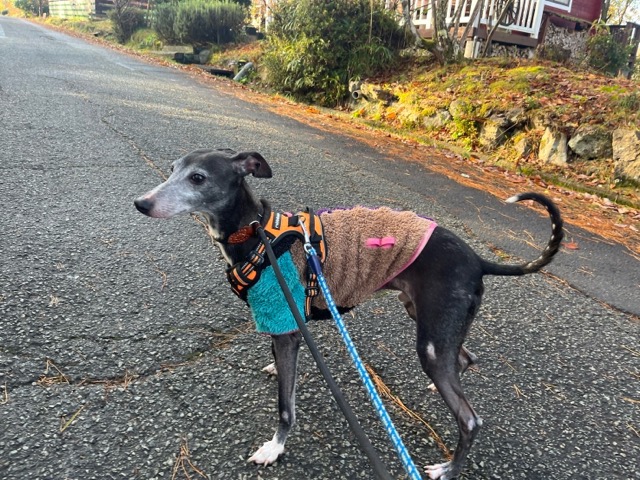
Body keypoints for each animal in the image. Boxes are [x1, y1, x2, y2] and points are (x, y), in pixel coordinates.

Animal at [134, 148, 563, 479]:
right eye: (172, 170)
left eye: (198, 178)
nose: (141, 203)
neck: (257, 234)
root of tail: (477, 260)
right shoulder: (286, 326)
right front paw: (274, 371)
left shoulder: (288, 327)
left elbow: (285, 408)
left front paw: (275, 448)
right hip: (431, 323)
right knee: (465, 357)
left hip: (432, 339)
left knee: (470, 419)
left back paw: (448, 469)